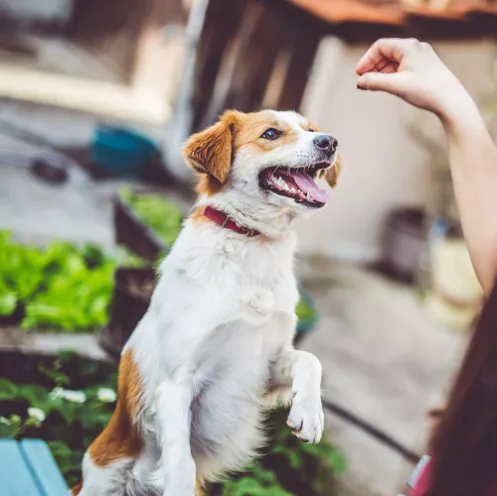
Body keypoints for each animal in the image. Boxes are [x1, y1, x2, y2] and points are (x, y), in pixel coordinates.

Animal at [73, 110, 340, 494]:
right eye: (271, 134)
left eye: (312, 129)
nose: (330, 142)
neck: (251, 242)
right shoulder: (176, 385)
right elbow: (181, 460)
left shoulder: (266, 368)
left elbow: (309, 360)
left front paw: (309, 413)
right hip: (101, 478)